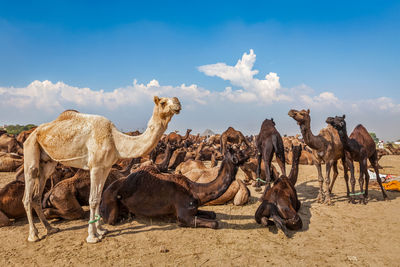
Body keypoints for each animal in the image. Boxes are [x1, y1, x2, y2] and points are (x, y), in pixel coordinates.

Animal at [21, 97, 181, 245]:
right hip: (30, 149)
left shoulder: (106, 167)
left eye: (175, 99)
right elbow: (92, 200)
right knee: (27, 194)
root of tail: (32, 133)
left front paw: (101, 230)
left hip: (47, 163)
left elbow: (98, 198)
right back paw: (33, 235)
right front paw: (92, 236)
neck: (116, 141)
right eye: (163, 102)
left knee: (37, 195)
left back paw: (50, 229)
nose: (178, 104)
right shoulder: (95, 166)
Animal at [99, 147, 247, 228]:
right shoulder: (184, 216)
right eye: (240, 153)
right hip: (110, 206)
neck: (196, 191)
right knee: (110, 219)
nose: (250, 154)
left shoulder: (194, 209)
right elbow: (215, 223)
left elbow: (213, 214)